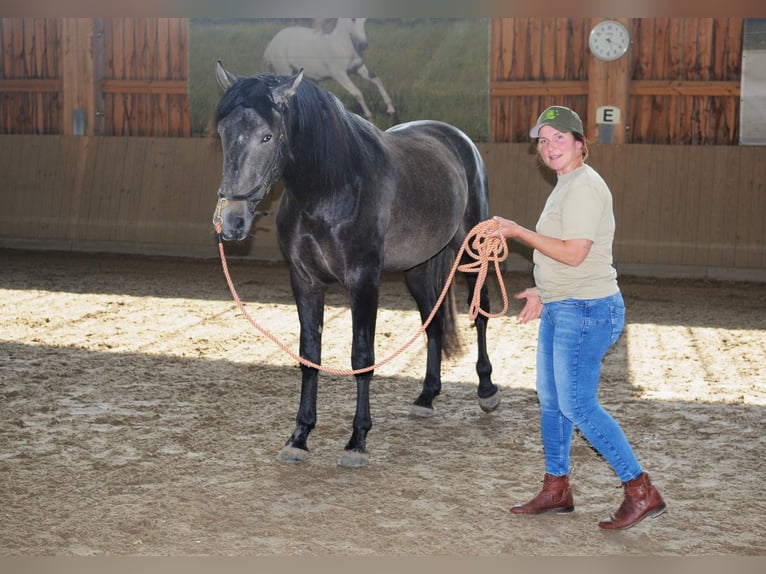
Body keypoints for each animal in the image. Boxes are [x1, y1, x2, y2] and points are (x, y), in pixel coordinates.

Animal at [212, 61, 500, 468]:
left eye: (267, 136)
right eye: (223, 133)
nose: (232, 221)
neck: (329, 190)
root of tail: (457, 138)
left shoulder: (364, 282)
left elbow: (361, 356)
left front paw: (357, 440)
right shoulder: (305, 281)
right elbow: (309, 355)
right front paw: (299, 436)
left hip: (473, 251)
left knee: (482, 312)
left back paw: (487, 389)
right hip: (418, 268)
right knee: (433, 323)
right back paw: (426, 396)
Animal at [263, 17, 396, 119]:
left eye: (365, 20)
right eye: (353, 19)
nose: (363, 44)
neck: (341, 45)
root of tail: (271, 44)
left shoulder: (359, 69)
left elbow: (377, 81)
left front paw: (391, 110)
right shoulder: (339, 74)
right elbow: (357, 93)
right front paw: (369, 117)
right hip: (286, 72)